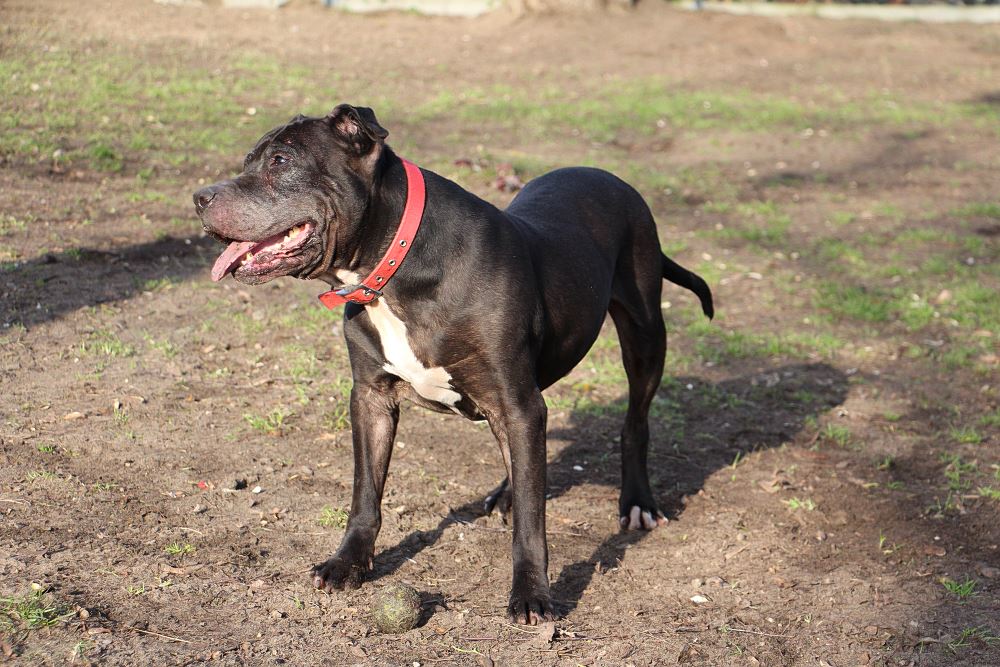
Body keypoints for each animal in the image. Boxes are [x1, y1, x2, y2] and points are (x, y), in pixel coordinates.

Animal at [194, 104, 714, 624]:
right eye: (248, 161)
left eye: (280, 161)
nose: (200, 197)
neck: (393, 270)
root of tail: (612, 178)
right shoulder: (371, 399)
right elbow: (366, 492)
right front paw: (347, 563)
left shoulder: (516, 400)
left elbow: (532, 519)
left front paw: (532, 593)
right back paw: (507, 490)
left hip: (644, 336)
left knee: (633, 422)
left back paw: (638, 502)